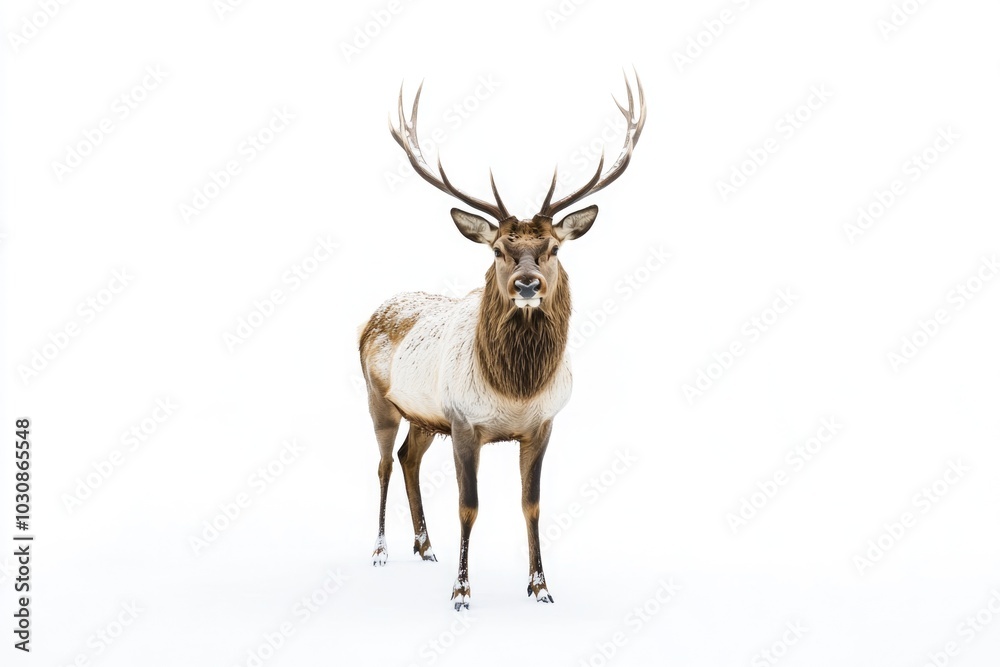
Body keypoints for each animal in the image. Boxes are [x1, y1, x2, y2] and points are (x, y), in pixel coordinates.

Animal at [358, 72, 645, 610]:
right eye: (496, 250)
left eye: (553, 248)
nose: (526, 284)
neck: (516, 389)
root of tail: (372, 315)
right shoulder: (464, 421)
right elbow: (468, 506)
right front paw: (461, 592)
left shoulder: (541, 424)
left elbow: (532, 503)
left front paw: (540, 586)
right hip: (378, 400)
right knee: (384, 462)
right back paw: (382, 550)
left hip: (425, 416)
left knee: (408, 458)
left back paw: (425, 547)